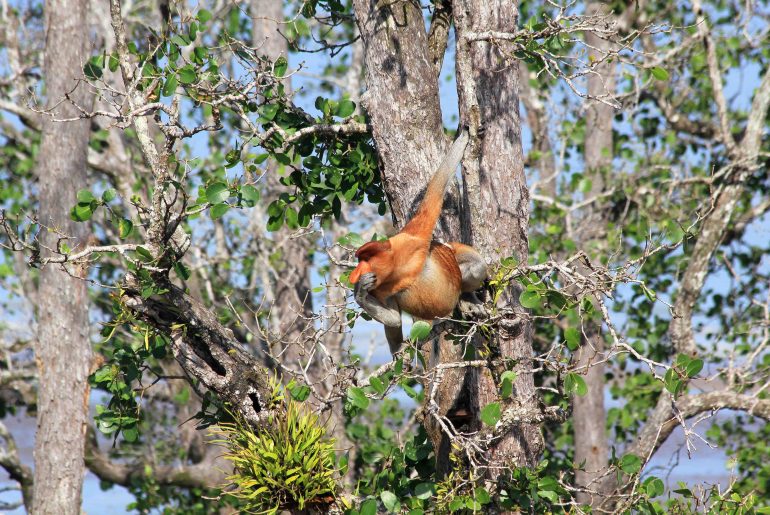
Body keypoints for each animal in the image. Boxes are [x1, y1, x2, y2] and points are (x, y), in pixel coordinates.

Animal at [349, 128, 488, 354]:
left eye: (365, 259)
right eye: (359, 260)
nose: (356, 273)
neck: (397, 266)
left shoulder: (415, 235)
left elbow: (435, 192)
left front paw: (464, 136)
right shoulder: (380, 287)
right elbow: (394, 319)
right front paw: (359, 291)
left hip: (456, 250)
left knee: (476, 266)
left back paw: (466, 298)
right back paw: (398, 350)